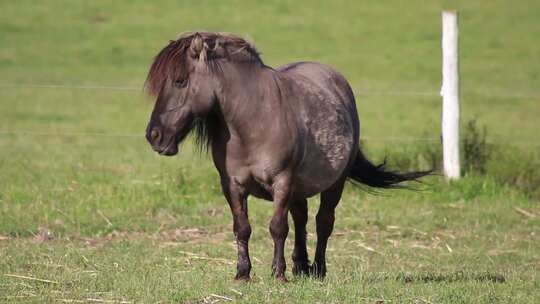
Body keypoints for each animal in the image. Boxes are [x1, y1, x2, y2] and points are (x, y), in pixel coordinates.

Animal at [144, 32, 430, 282]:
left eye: (180, 81)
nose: (154, 135)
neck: (252, 122)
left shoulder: (282, 181)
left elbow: (278, 227)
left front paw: (278, 273)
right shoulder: (232, 185)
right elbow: (242, 227)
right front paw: (243, 273)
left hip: (333, 185)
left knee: (323, 222)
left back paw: (318, 269)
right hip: (299, 188)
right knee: (301, 220)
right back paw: (300, 267)